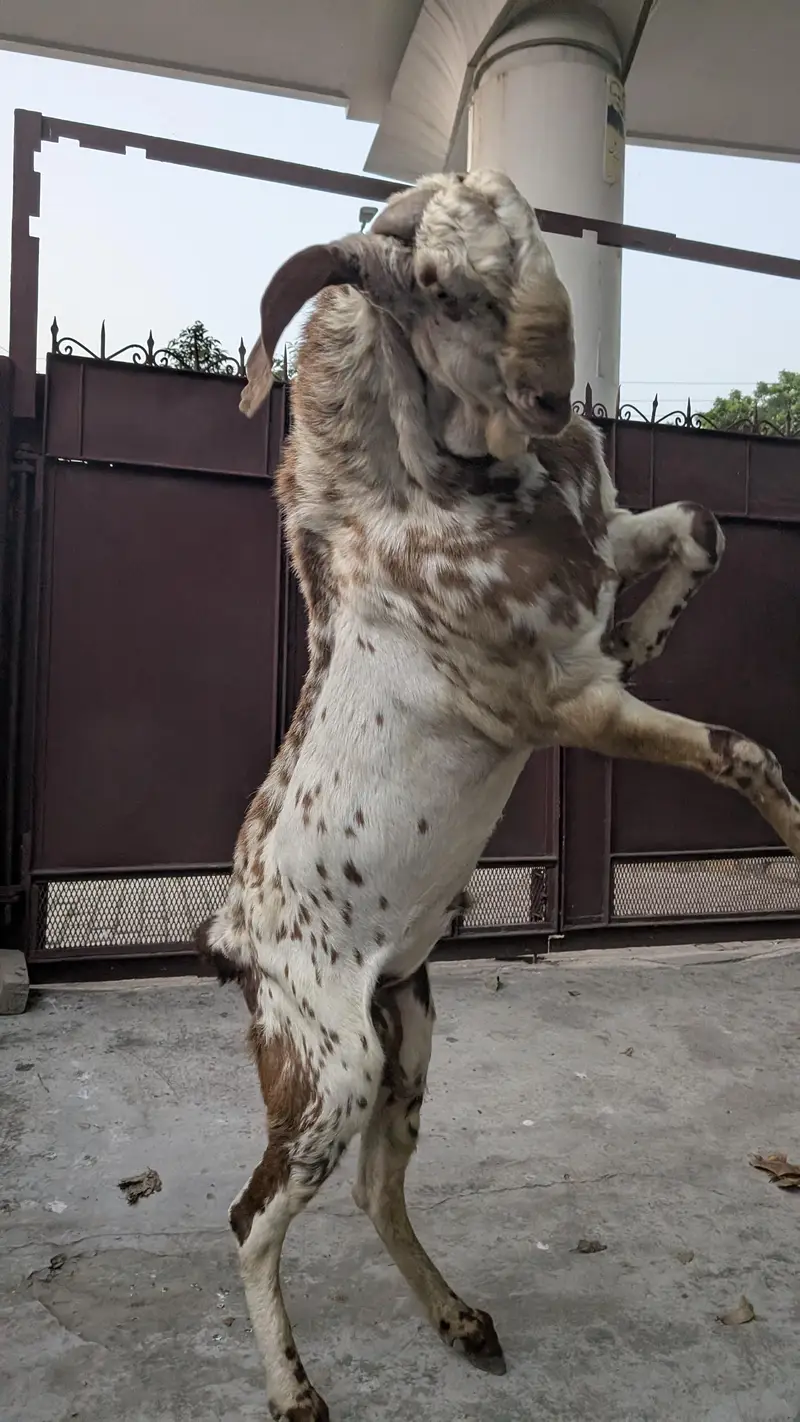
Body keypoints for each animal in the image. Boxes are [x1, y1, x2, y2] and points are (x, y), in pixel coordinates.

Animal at [197, 170, 800, 1421]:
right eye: (429, 283)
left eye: (527, 232)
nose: (552, 398)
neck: (430, 500)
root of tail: (231, 943)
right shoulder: (563, 703)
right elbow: (738, 749)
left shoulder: (607, 548)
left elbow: (699, 526)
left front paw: (647, 623)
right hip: (329, 1065)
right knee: (249, 1216)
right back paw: (294, 1389)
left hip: (410, 1035)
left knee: (375, 1191)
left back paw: (459, 1318)